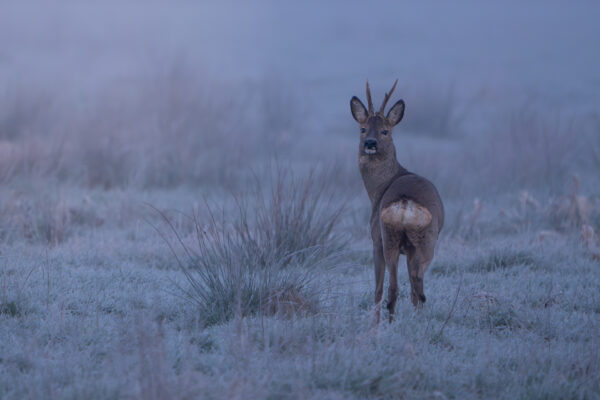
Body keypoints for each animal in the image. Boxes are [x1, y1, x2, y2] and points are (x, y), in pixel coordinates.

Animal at [350, 80, 442, 322]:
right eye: (363, 129)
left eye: (385, 131)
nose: (370, 142)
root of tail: (404, 204)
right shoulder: (384, 242)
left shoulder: (376, 238)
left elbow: (378, 289)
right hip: (418, 241)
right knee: (412, 285)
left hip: (391, 238)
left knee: (397, 288)